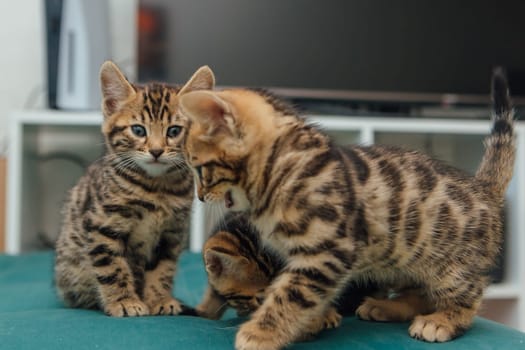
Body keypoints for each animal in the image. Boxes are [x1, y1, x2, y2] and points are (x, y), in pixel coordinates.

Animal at [53, 62, 215, 318]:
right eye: (139, 130)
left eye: (174, 131)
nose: (156, 151)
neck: (156, 188)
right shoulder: (102, 225)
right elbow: (112, 266)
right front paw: (124, 301)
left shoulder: (171, 233)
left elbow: (163, 269)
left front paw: (159, 299)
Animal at [178, 69, 512, 350]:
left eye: (199, 168)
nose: (201, 196)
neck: (280, 171)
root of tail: (483, 186)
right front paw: (312, 321)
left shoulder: (327, 252)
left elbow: (292, 295)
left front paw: (260, 334)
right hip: (404, 260)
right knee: (418, 293)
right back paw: (385, 306)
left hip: (450, 265)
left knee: (467, 295)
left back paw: (443, 320)